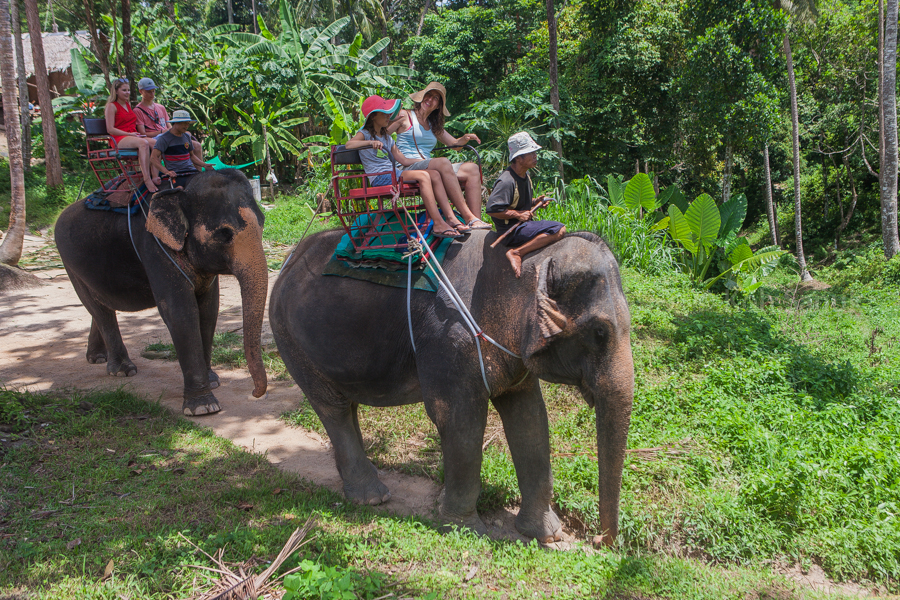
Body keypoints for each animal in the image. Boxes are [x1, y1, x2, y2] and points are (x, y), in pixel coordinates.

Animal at [54, 166, 268, 414]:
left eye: (262, 223)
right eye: (224, 233)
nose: (255, 393)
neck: (184, 188)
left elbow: (208, 310)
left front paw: (213, 380)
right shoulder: (154, 245)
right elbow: (180, 312)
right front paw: (203, 407)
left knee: (100, 306)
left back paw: (97, 358)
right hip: (69, 262)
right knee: (99, 309)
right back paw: (123, 370)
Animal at [270, 230, 636, 544]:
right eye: (600, 332)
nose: (600, 541)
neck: (527, 258)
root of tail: (291, 256)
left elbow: (530, 418)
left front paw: (547, 535)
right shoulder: (450, 341)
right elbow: (459, 420)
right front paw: (466, 530)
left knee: (348, 406)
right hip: (290, 338)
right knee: (333, 409)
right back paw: (371, 497)